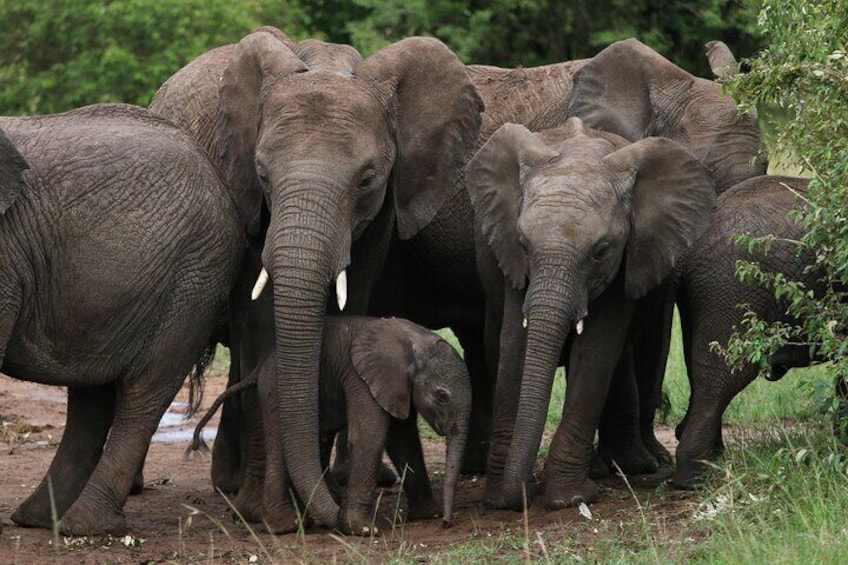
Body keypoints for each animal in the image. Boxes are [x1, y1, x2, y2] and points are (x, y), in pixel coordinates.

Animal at [191, 318, 470, 532]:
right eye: (442, 396)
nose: (447, 524)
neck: (417, 340)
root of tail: (262, 364)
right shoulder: (361, 379)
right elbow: (368, 437)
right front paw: (363, 530)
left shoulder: (398, 387)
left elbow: (403, 439)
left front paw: (428, 514)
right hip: (274, 388)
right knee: (281, 444)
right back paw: (288, 525)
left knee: (318, 439)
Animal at [468, 117, 720, 508]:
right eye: (523, 243)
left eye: (600, 251)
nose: (521, 495)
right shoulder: (509, 256)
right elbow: (515, 348)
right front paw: (500, 500)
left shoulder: (628, 256)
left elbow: (597, 351)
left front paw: (568, 499)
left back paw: (621, 468)